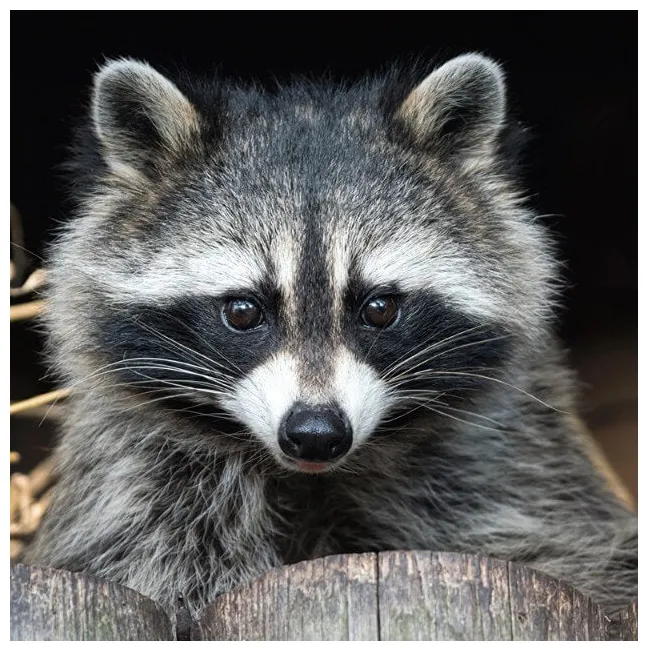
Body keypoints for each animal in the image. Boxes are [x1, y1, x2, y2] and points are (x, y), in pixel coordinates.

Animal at [27, 53, 637, 616]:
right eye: (243, 311)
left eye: (380, 308)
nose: (316, 434)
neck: (308, 478)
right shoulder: (140, 477)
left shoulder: (512, 461)